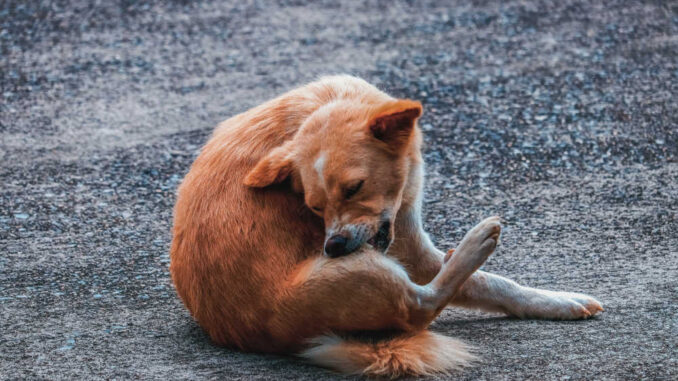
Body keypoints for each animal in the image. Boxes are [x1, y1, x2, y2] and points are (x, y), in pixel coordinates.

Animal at [171, 75, 604, 376]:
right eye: (314, 207)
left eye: (354, 188)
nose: (333, 247)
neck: (327, 104)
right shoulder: (409, 250)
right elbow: (492, 283)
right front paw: (557, 300)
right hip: (368, 272)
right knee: (422, 307)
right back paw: (476, 244)